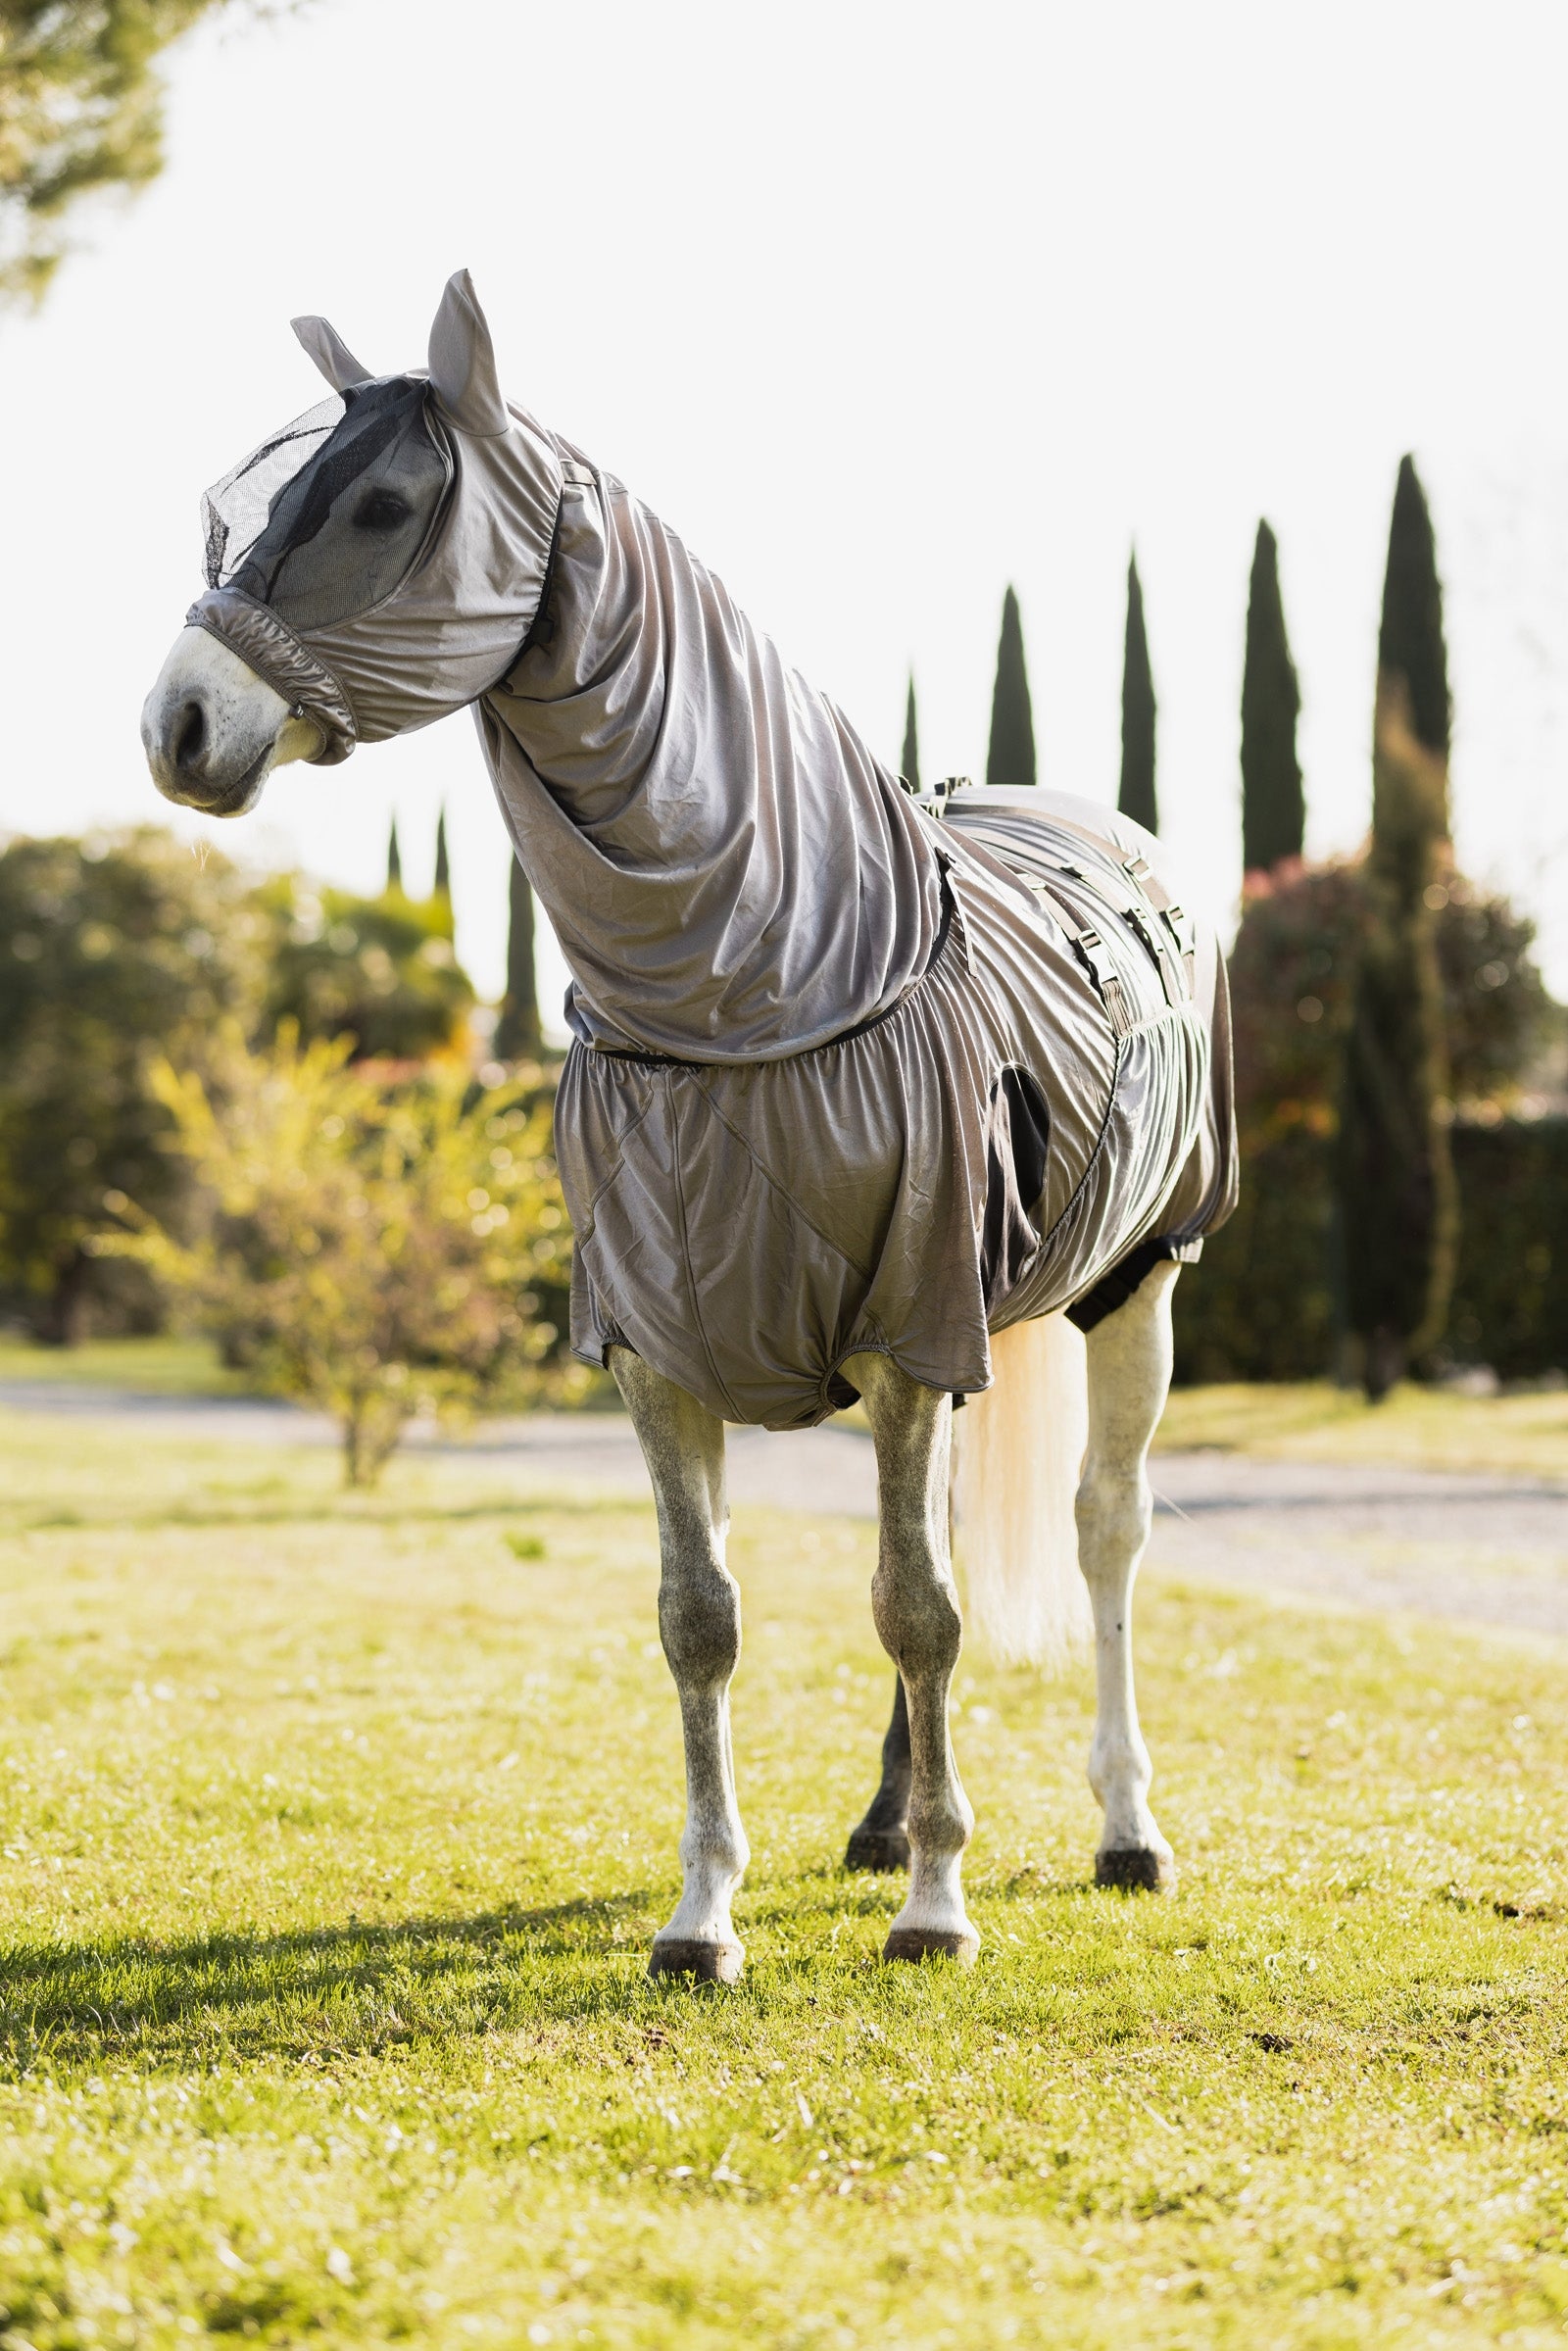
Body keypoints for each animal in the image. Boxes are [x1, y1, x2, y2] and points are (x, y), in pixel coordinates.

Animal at [142, 273, 1238, 1982]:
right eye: (237, 502)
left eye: (383, 501)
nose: (181, 724)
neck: (757, 1000)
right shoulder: (662, 1339)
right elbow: (702, 1614)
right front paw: (704, 1915)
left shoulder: (908, 1324)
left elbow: (921, 1607)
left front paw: (938, 1908)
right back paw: (881, 1819)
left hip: (1135, 1283)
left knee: (1104, 1532)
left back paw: (1123, 1828)